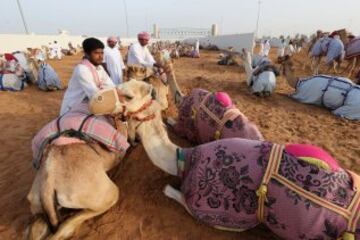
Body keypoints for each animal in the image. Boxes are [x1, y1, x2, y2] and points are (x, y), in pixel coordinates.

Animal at [25, 79, 155, 240]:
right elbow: (132, 139)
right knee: (65, 226)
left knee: (37, 227)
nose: (152, 90)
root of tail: (49, 181)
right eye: (128, 96)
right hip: (105, 194)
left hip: (38, 203)